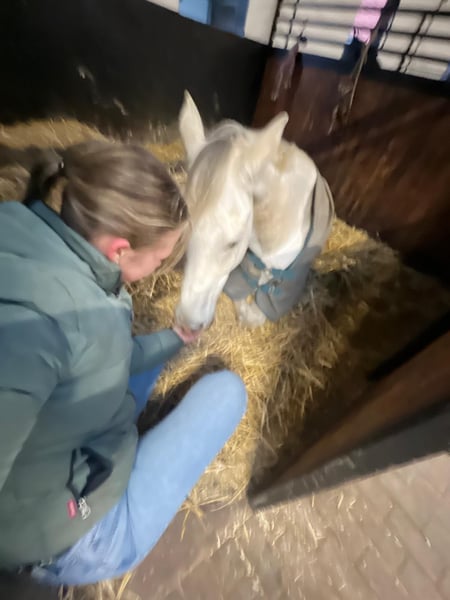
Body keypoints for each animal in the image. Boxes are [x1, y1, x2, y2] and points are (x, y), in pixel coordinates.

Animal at [175, 92, 334, 331]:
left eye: (233, 243)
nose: (186, 326)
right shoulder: (244, 269)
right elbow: (241, 301)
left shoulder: (287, 284)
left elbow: (258, 313)